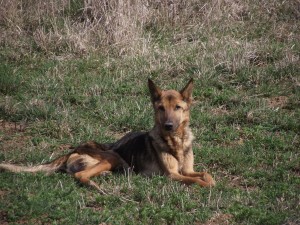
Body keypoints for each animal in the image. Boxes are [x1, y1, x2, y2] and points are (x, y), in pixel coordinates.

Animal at [0, 79, 216, 190]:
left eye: (178, 107)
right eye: (161, 108)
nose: (169, 125)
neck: (176, 141)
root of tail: (74, 149)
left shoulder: (186, 170)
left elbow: (205, 173)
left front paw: (212, 180)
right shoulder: (172, 175)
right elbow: (197, 180)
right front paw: (209, 186)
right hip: (111, 156)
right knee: (79, 175)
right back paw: (96, 186)